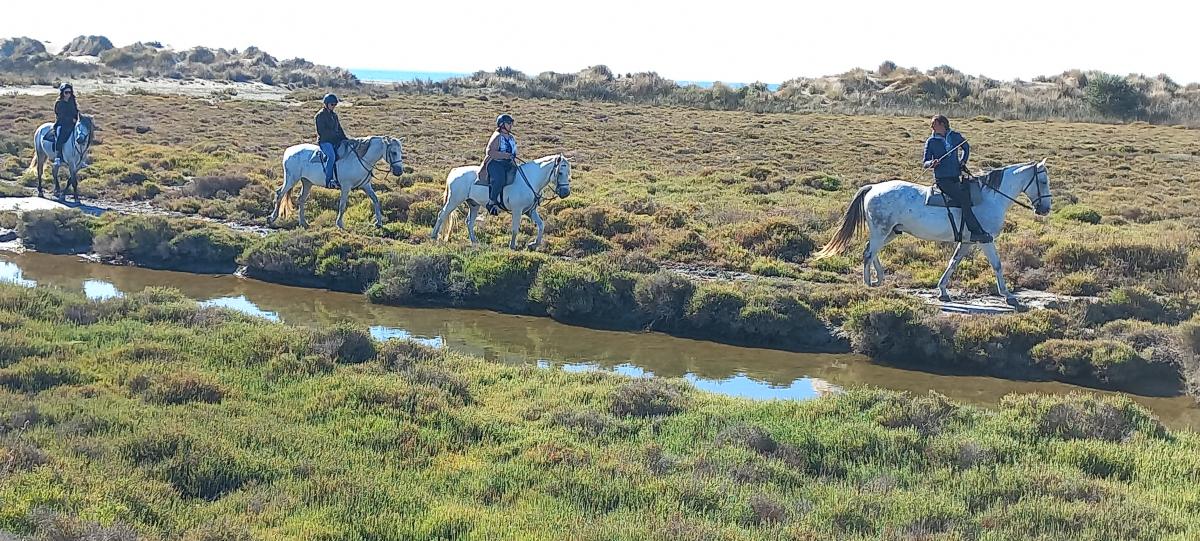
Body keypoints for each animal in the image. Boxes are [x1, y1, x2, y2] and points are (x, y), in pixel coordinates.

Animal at [267, 136, 404, 229]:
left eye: (400, 152)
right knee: (279, 194)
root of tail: (289, 152)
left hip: (307, 182)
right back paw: (272, 218)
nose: (399, 171)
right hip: (291, 179)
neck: (360, 159)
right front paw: (340, 224)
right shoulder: (346, 187)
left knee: (301, 199)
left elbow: (375, 200)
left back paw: (303, 222)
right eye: (393, 152)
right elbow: (342, 205)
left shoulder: (366, 185)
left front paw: (378, 222)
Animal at [431, 155, 572, 250]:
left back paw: (474, 241)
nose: (565, 193)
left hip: (474, 204)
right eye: (560, 172)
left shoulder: (530, 211)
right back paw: (433, 236)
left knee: (469, 222)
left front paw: (533, 244)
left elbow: (541, 225)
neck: (530, 179)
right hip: (453, 200)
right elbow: (515, 228)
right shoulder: (517, 210)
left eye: (568, 172)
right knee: (442, 215)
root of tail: (454, 171)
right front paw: (512, 246)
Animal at [814, 159, 1051, 306]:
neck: (991, 197)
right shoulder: (985, 239)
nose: (1045, 209)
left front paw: (943, 290)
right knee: (868, 254)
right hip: (881, 231)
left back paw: (879, 279)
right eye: (1043, 181)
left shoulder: (967, 242)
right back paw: (868, 285)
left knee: (871, 252)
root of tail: (873, 187)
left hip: (890, 232)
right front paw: (1008, 295)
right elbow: (997, 265)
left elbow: (953, 263)